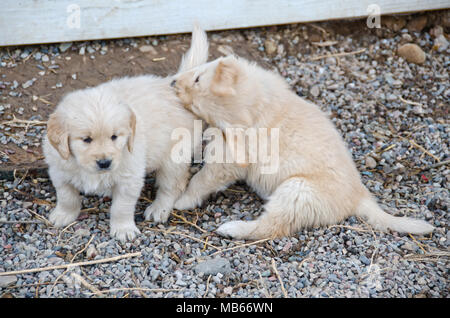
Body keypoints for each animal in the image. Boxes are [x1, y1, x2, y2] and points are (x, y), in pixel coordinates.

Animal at [44, 26, 209, 241]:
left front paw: (123, 229)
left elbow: (121, 207)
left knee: (172, 185)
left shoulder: (129, 180)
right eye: (86, 139)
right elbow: (66, 196)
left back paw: (159, 209)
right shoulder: (58, 171)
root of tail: (171, 88)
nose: (105, 162)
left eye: (115, 137)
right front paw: (63, 215)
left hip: (174, 159)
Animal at [171, 54, 434, 240]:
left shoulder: (230, 158)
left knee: (272, 226)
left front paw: (182, 199)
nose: (173, 82)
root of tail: (359, 196)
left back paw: (233, 228)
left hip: (296, 191)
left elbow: (203, 179)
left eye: (197, 79)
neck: (260, 103)